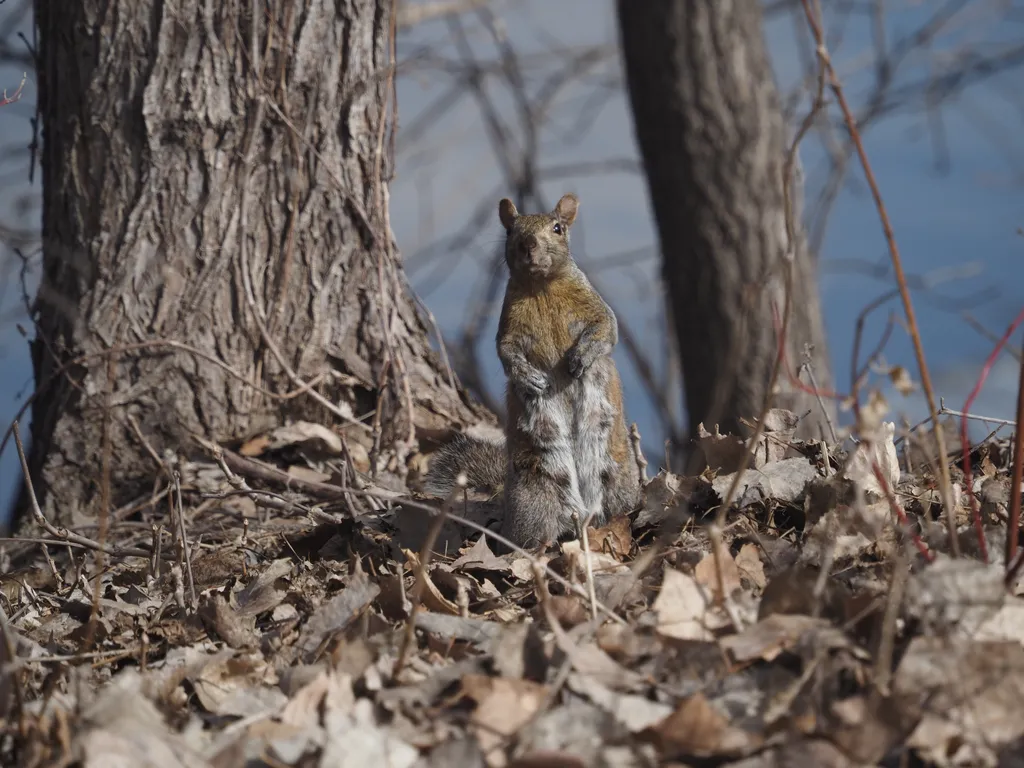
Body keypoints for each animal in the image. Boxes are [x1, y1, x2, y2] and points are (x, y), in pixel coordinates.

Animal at [425, 195, 638, 548]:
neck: (542, 286)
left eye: (558, 228)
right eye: (510, 230)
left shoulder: (598, 310)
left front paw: (579, 359)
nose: (528, 244)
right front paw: (530, 379)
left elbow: (605, 331)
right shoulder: (508, 330)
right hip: (535, 495)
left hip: (618, 477)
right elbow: (507, 354)